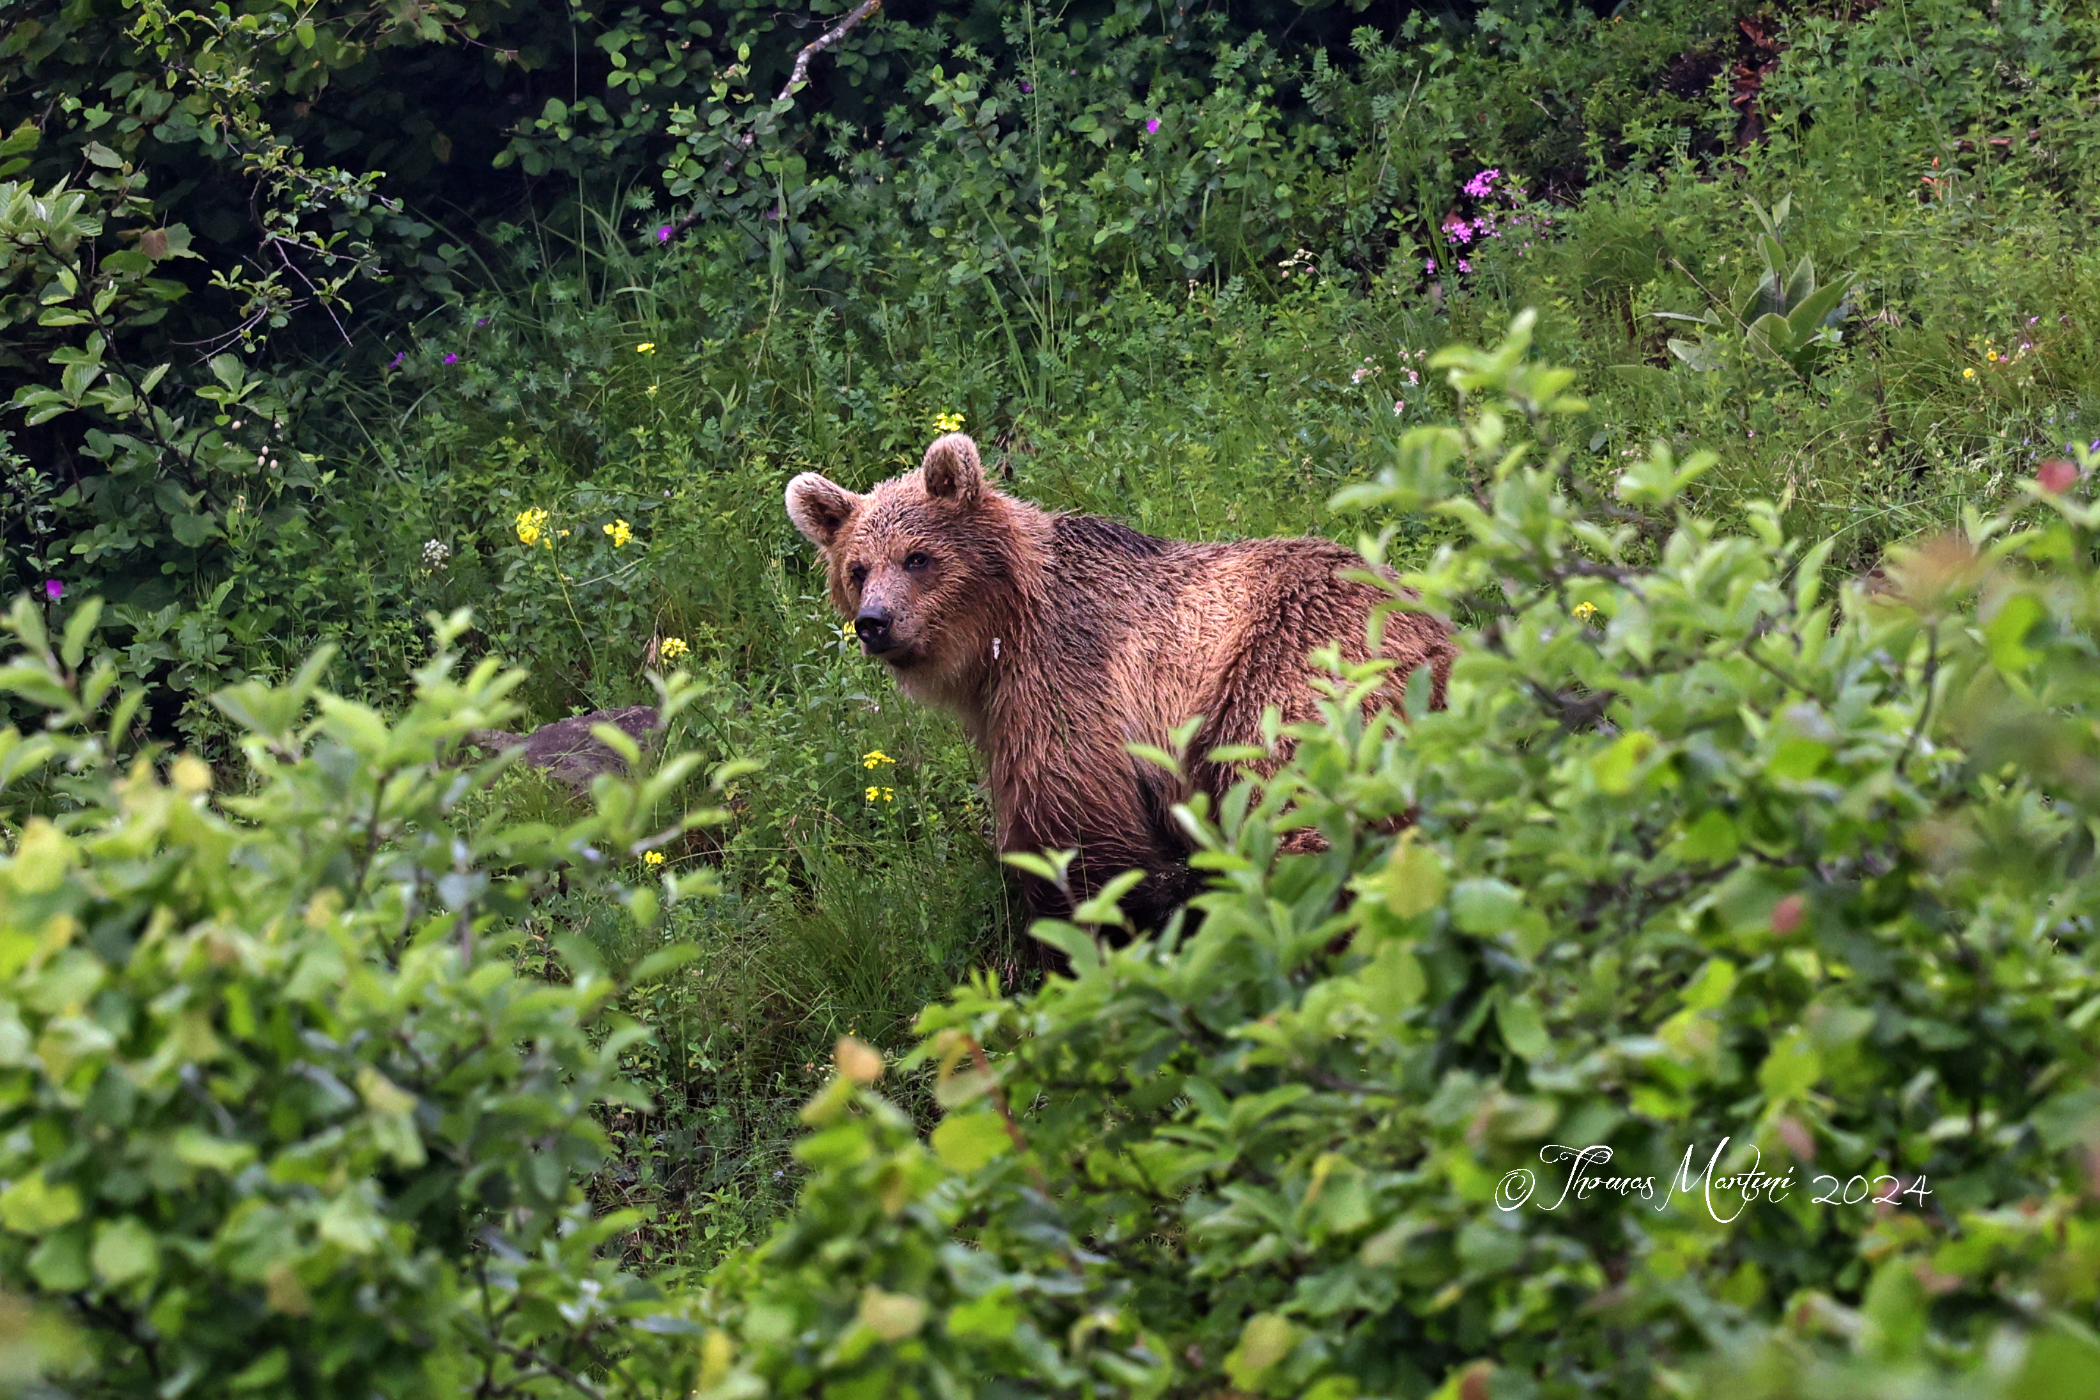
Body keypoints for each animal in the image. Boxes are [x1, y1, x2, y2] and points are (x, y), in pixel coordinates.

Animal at [785, 432, 1455, 930]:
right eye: (857, 569)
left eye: (918, 557)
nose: (875, 622)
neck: (998, 637)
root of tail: (1437, 631)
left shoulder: (1068, 677)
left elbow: (1077, 828)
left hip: (1292, 668)